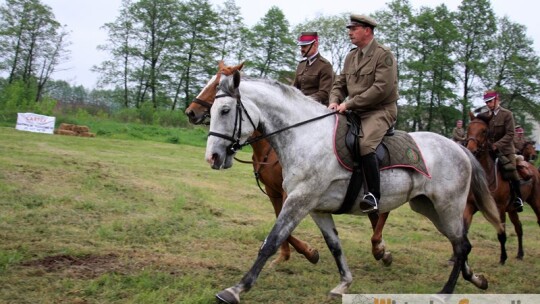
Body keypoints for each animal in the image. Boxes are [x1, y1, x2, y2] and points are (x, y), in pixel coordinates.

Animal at [186, 61, 392, 266]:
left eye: (217, 84)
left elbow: (285, 226)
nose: (190, 112)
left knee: (382, 212)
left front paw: (309, 252)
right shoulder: (273, 191)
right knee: (377, 213)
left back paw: (380, 249)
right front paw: (284, 255)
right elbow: (280, 220)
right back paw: (380, 249)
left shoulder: (293, 192)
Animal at [204, 70, 502, 304]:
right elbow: (334, 245)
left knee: (461, 245)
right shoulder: (316, 208)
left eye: (225, 111)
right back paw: (476, 279)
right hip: (429, 208)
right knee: (461, 243)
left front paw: (236, 289)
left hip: (448, 206)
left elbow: (272, 241)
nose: (213, 157)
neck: (306, 136)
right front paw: (344, 284)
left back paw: (445, 293)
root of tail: (459, 148)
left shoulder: (299, 200)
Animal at [464, 113, 540, 264]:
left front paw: (503, 258)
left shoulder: (499, 209)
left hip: (535, 201)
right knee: (519, 228)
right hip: (512, 209)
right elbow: (464, 229)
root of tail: (534, 168)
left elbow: (501, 234)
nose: (471, 149)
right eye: (469, 128)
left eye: (484, 131)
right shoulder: (470, 205)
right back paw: (520, 254)